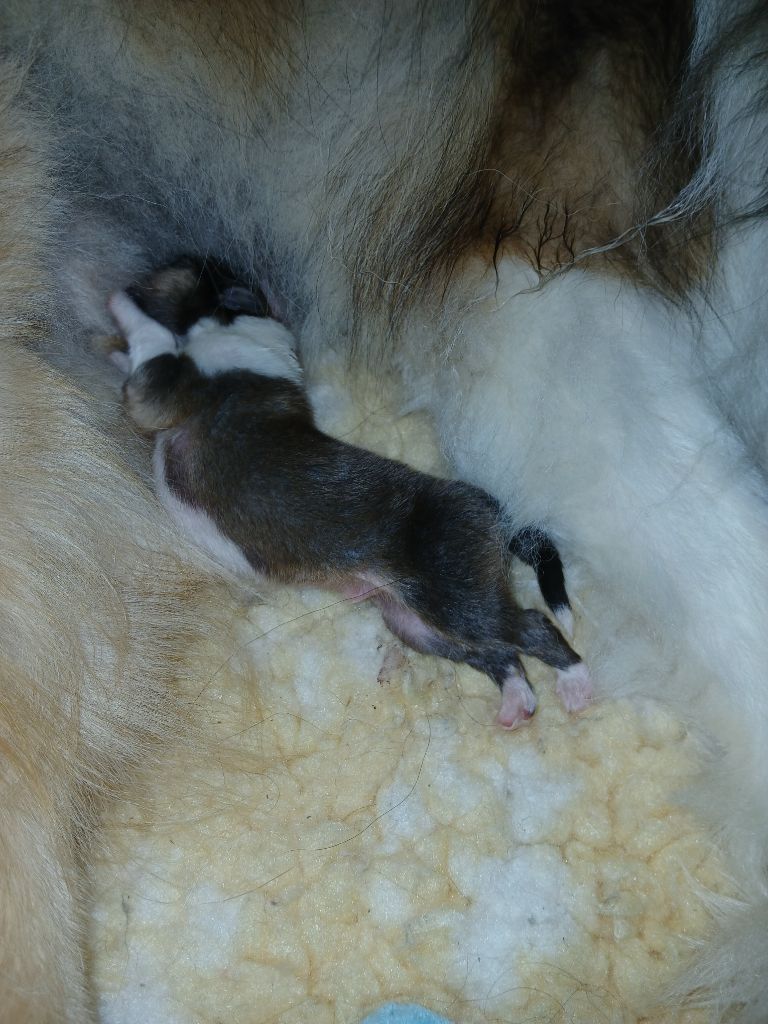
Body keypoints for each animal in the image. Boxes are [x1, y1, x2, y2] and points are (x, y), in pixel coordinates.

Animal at [105, 266, 593, 729]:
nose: (138, 278)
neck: (247, 327)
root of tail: (493, 506)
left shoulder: (164, 389)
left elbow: (153, 343)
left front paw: (121, 306)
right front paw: (116, 347)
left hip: (457, 600)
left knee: (533, 627)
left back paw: (575, 684)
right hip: (415, 623)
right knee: (498, 653)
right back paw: (516, 700)